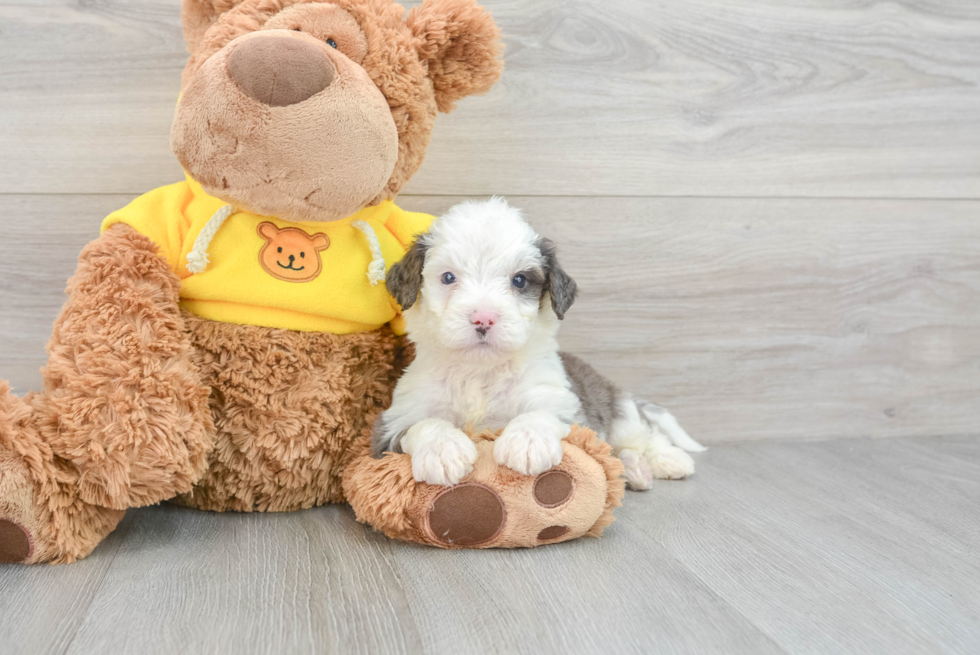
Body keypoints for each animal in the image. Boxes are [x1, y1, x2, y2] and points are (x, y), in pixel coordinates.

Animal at [372, 197, 700, 490]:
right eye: (448, 277)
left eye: (519, 280)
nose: (483, 319)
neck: (480, 373)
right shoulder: (389, 426)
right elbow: (422, 424)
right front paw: (443, 450)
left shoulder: (565, 405)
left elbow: (543, 413)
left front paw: (526, 440)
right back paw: (633, 470)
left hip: (619, 411)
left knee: (643, 436)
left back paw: (666, 460)